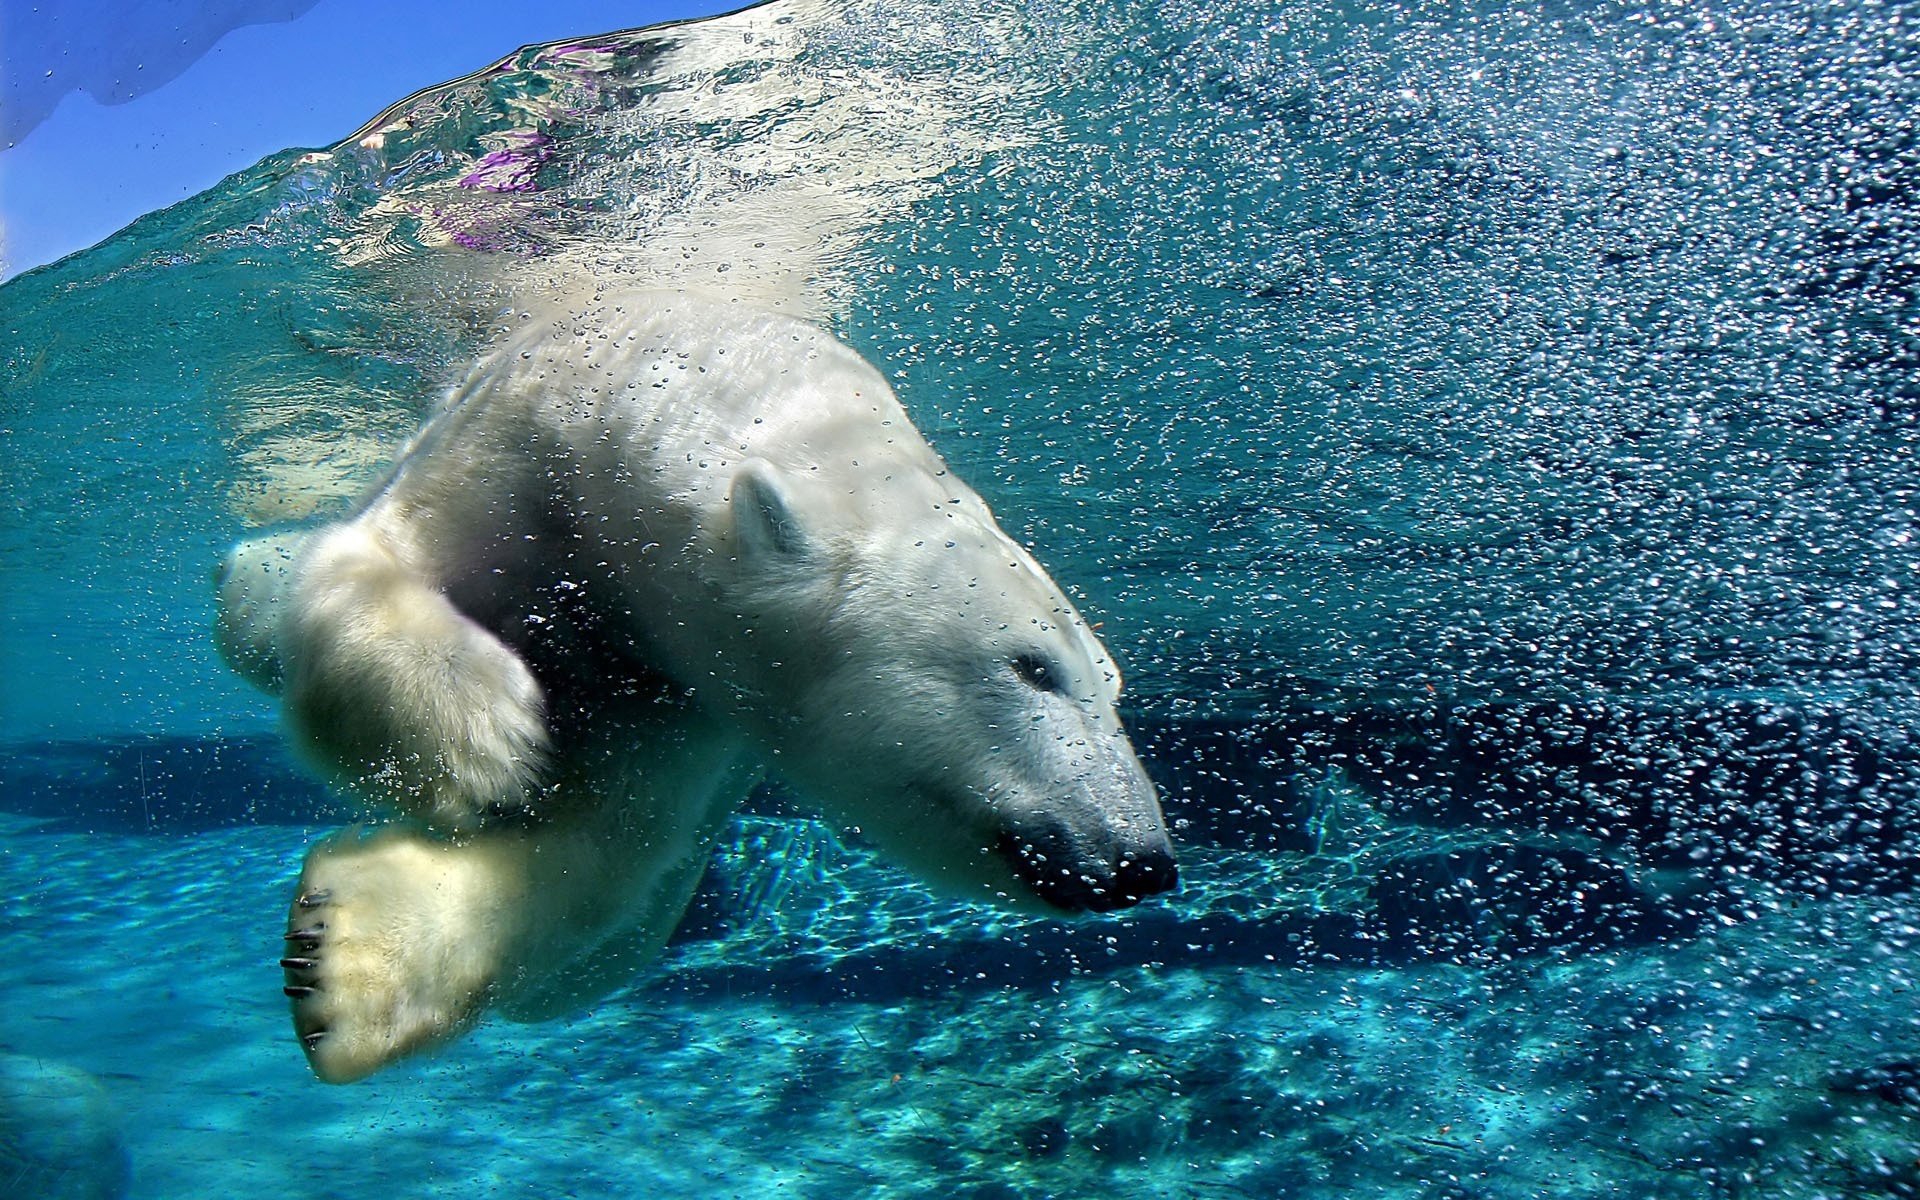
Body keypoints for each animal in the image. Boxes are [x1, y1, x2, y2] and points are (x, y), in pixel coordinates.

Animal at [214, 290, 1175, 1083]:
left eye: (1114, 688)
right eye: (1032, 666)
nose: (1140, 861)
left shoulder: (692, 697)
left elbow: (607, 842)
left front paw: (341, 958)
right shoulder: (518, 446)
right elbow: (374, 561)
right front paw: (484, 738)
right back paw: (251, 577)